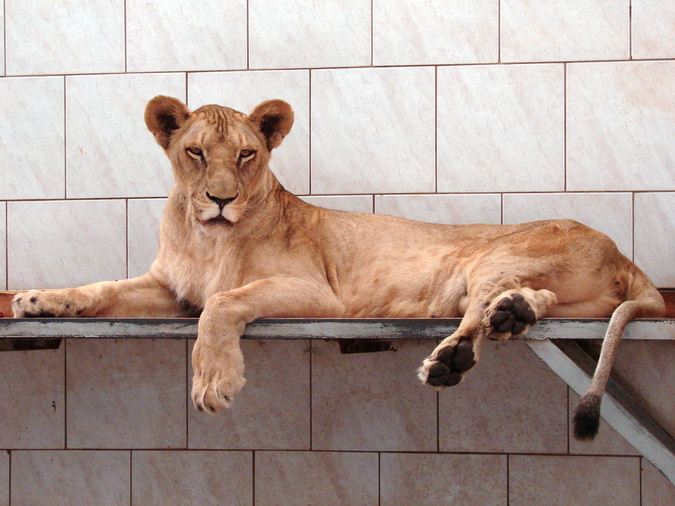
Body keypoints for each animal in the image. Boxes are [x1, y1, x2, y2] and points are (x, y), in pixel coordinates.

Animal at [12, 96, 665, 440]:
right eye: (195, 152)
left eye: (246, 155)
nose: (220, 200)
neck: (206, 238)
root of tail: (623, 255)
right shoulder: (169, 290)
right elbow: (101, 287)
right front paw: (40, 300)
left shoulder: (316, 294)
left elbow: (224, 304)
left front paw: (214, 382)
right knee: (533, 302)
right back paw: (514, 315)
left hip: (492, 256)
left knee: (481, 307)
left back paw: (455, 356)